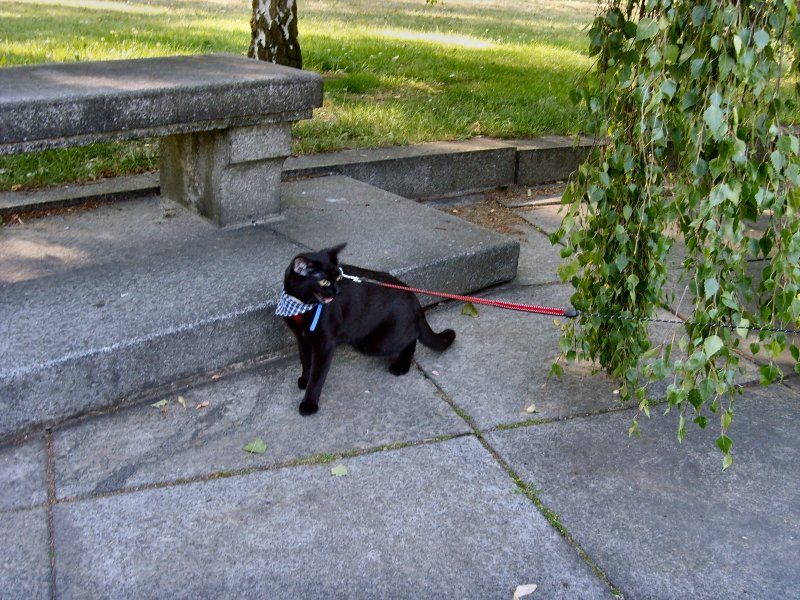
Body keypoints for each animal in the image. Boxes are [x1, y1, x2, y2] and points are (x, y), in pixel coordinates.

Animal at [276, 241, 456, 414]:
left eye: (339, 277)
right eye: (324, 282)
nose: (338, 291)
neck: (301, 306)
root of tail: (414, 298)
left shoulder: (324, 345)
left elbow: (317, 376)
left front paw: (309, 403)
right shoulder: (302, 338)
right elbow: (306, 361)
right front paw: (305, 380)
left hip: (379, 342)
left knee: (411, 338)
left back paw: (401, 366)